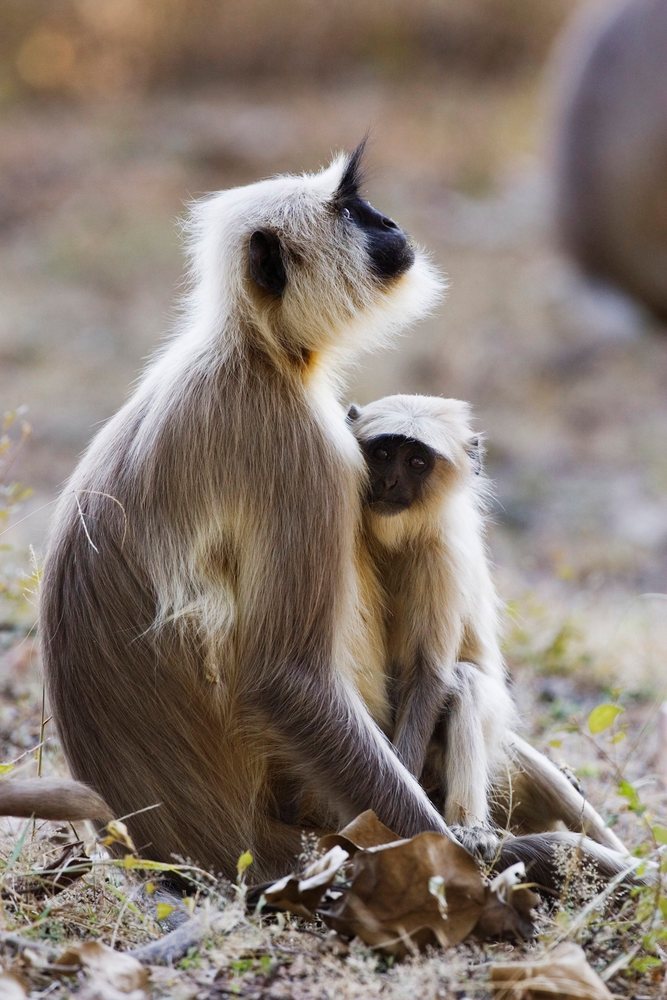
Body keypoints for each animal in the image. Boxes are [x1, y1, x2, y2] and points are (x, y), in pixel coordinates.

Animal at [349, 394, 628, 856]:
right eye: (383, 453)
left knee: (466, 681)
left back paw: (471, 828)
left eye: (417, 461)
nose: (389, 482)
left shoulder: (442, 557)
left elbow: (430, 674)